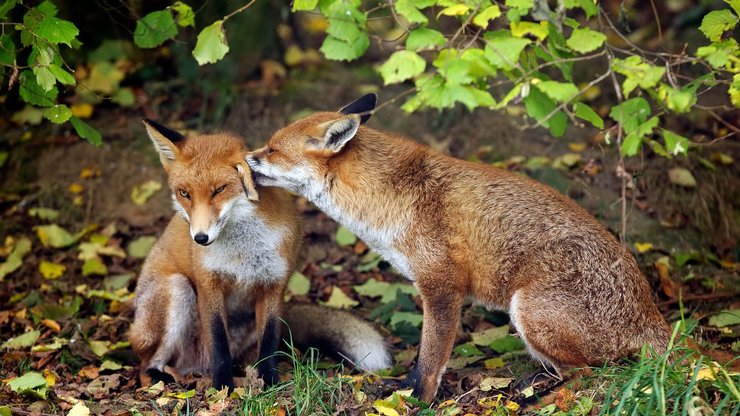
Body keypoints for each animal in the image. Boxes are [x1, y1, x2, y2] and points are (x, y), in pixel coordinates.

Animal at [129, 119, 390, 390]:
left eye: (219, 190)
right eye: (184, 193)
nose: (200, 239)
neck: (243, 253)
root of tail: (194, 368)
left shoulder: (274, 283)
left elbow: (269, 340)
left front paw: (269, 381)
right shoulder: (209, 283)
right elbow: (218, 344)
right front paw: (222, 386)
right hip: (177, 290)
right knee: (147, 364)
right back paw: (160, 378)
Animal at [246, 94, 672, 404]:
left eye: (271, 150)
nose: (245, 159)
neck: (393, 199)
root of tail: (651, 314)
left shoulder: (442, 286)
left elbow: (431, 356)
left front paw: (417, 398)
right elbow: (424, 355)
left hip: (527, 310)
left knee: (597, 371)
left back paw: (538, 393)